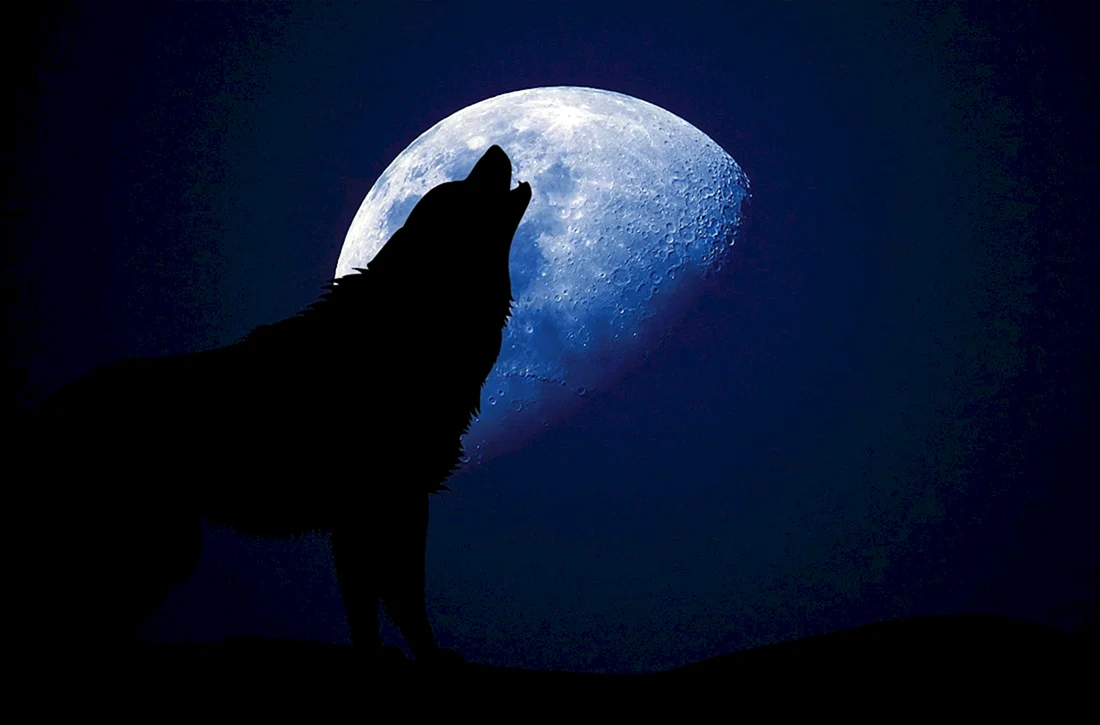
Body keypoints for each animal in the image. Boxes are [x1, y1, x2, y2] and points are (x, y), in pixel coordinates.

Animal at [29, 145, 532, 665]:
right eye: (458, 189)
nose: (496, 148)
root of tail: (46, 411)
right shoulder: (389, 500)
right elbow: (401, 599)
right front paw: (423, 655)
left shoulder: (367, 511)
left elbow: (368, 603)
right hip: (164, 547)